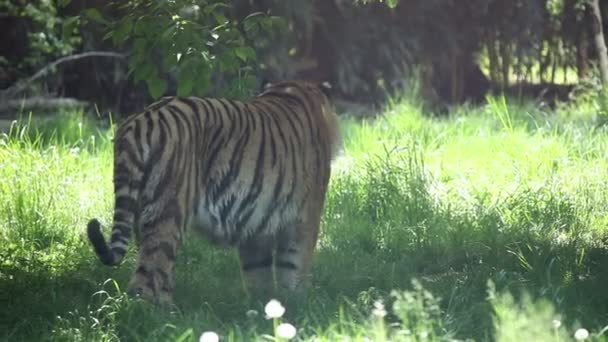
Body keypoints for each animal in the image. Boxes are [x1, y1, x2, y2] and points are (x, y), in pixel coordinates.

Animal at [86, 81, 340, 304]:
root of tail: (137, 123)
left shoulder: (256, 223)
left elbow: (258, 273)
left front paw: (265, 307)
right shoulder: (304, 219)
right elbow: (295, 266)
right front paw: (298, 304)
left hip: (141, 213)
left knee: (157, 269)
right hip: (169, 212)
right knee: (148, 277)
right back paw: (153, 316)